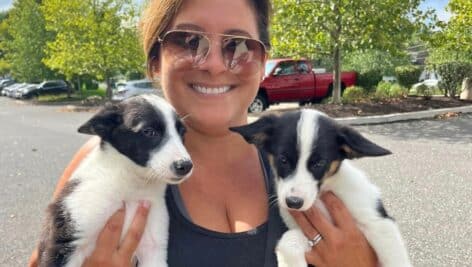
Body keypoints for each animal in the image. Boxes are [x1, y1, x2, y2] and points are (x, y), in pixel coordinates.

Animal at [36, 95, 192, 266]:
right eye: (149, 132)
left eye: (182, 132)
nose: (185, 166)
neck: (131, 187)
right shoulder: (65, 243)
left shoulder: (153, 250)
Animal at [230, 109, 412, 267]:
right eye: (283, 160)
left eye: (319, 163)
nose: (294, 202)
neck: (321, 196)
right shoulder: (309, 234)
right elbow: (288, 241)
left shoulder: (379, 222)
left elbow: (396, 260)